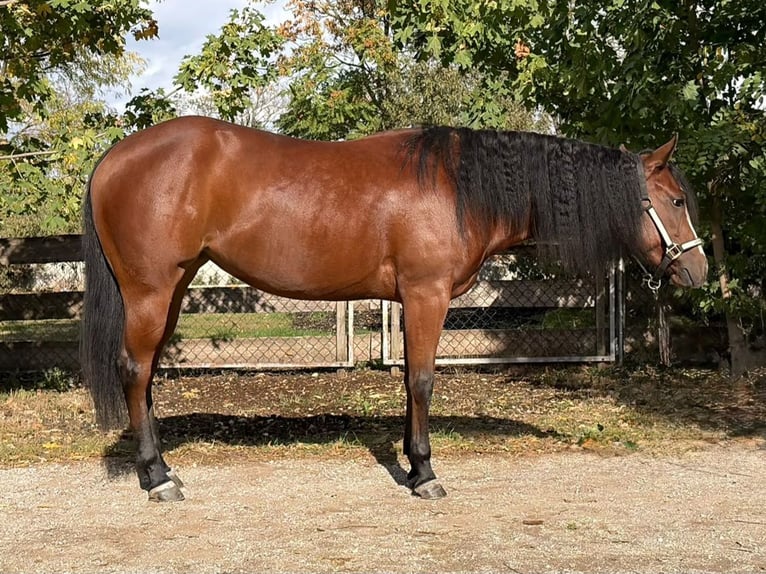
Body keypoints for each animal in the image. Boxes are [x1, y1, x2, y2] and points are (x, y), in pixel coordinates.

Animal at [80, 117, 707, 502]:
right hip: (150, 291)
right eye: (676, 200)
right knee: (134, 371)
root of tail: (114, 157)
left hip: (174, 288)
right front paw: (426, 473)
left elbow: (410, 379)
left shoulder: (410, 299)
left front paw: (411, 463)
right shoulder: (427, 294)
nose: (698, 272)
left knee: (147, 377)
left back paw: (163, 468)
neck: (460, 189)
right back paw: (156, 479)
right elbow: (424, 380)